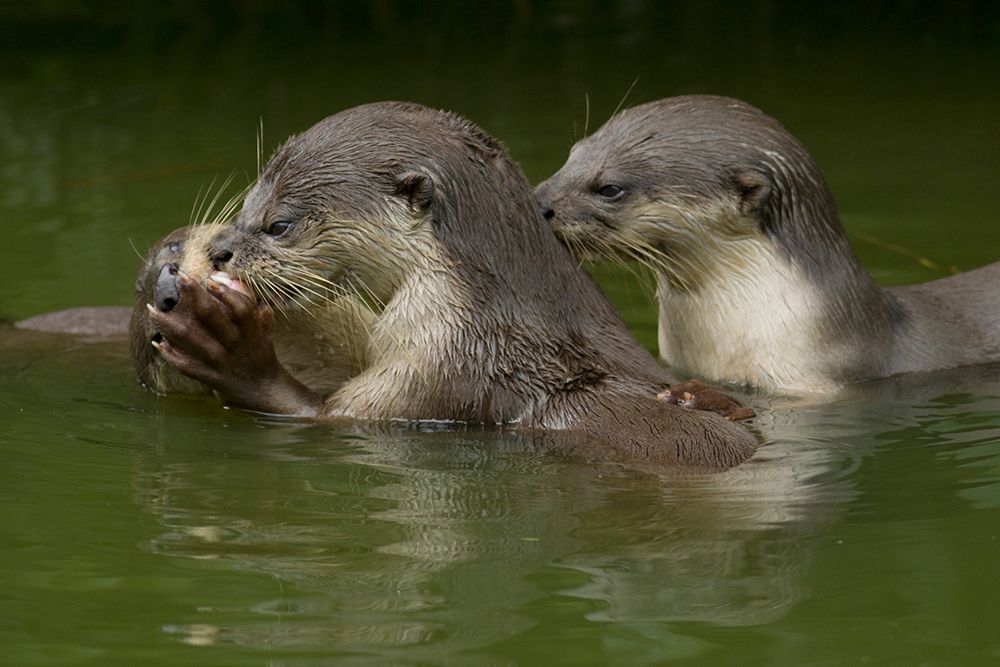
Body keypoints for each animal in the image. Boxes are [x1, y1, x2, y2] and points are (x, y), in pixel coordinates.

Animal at [146, 101, 757, 471]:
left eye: (278, 224)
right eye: (245, 208)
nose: (219, 248)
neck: (477, 304)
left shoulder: (446, 356)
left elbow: (328, 417)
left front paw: (229, 349)